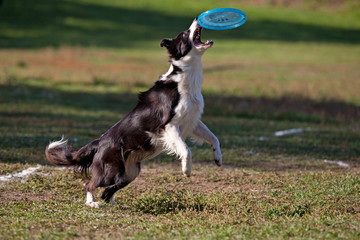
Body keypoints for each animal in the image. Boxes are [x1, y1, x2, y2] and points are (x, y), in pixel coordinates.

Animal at [45, 18, 222, 207]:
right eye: (184, 34)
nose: (197, 19)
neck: (184, 77)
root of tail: (99, 142)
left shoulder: (192, 120)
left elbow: (213, 138)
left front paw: (218, 158)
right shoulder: (169, 125)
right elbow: (186, 149)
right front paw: (186, 170)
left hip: (130, 171)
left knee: (110, 188)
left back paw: (110, 201)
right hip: (112, 170)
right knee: (90, 183)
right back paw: (92, 202)